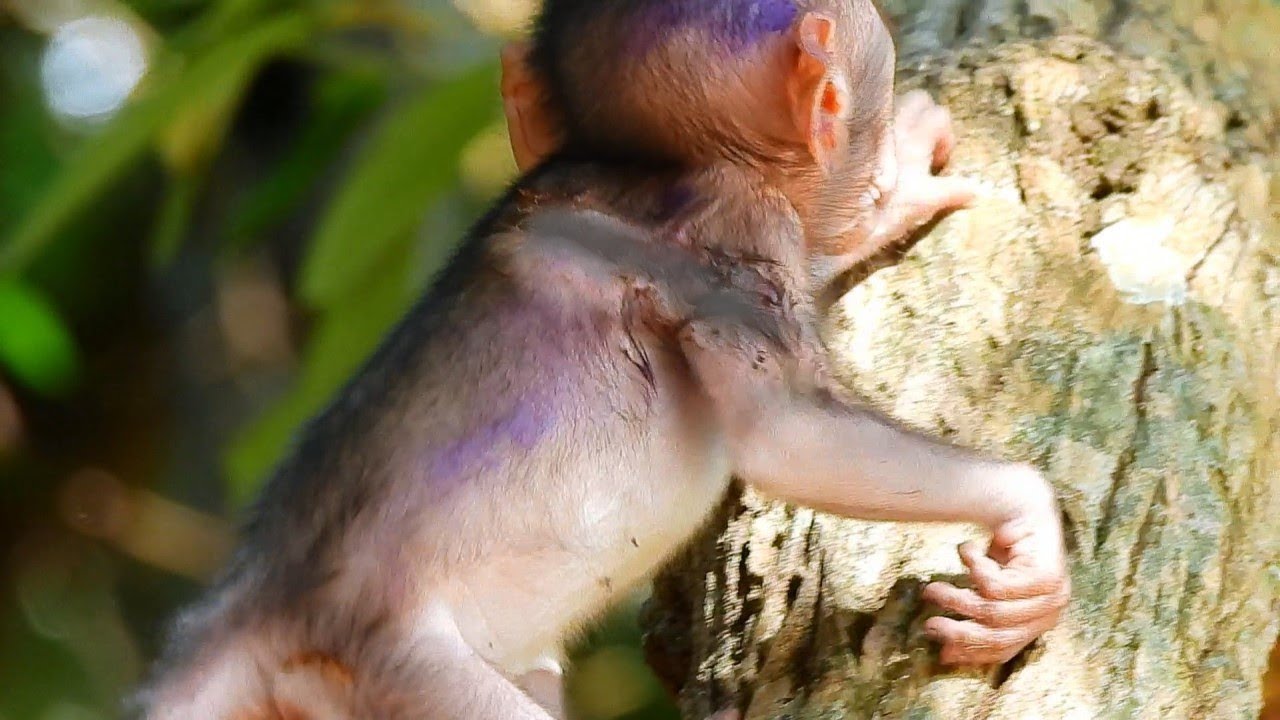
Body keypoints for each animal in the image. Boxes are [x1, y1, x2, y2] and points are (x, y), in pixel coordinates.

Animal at [136, 1, 1070, 718]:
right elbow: (786, 433)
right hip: (392, 667)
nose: (876, 170)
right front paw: (1028, 520)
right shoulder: (740, 222)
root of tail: (259, 597)